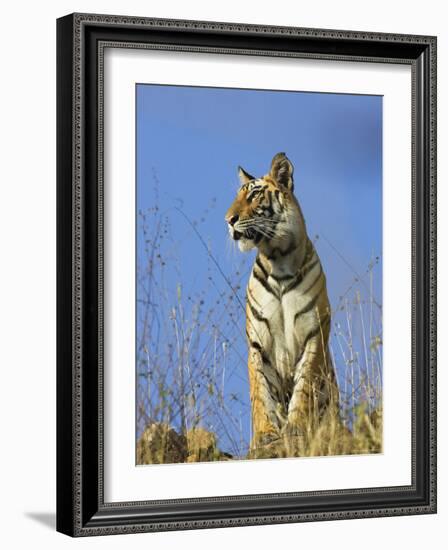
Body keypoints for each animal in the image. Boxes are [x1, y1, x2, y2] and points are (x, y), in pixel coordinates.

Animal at [226, 153, 338, 460]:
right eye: (237, 196)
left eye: (254, 194)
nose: (228, 220)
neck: (279, 258)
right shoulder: (258, 343)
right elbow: (261, 393)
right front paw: (266, 437)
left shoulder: (313, 334)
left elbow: (303, 389)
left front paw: (296, 431)